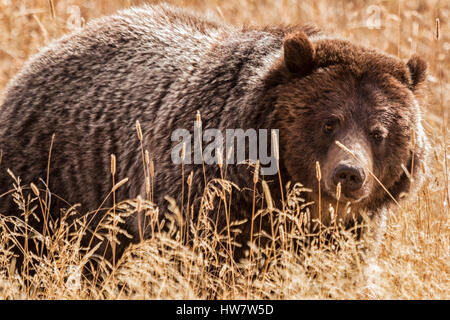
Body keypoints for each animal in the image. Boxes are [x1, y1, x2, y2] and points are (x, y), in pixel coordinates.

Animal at [0, 3, 428, 268]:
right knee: (26, 246)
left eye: (379, 131)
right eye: (329, 122)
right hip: (49, 178)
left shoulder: (348, 233)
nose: (349, 174)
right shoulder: (203, 197)